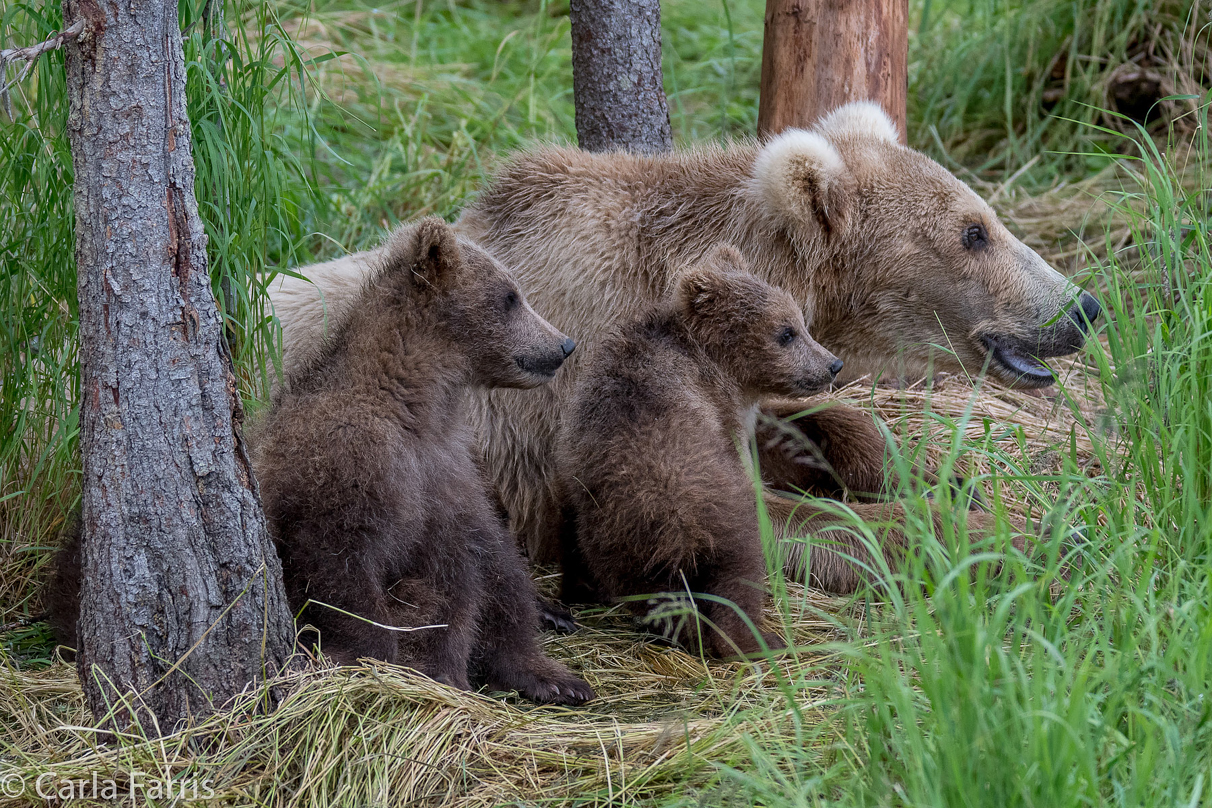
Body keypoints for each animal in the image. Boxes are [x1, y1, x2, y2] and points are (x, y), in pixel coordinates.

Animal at [272, 101, 1100, 593]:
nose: (1082, 306)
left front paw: (933, 470)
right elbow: (759, 516)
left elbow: (799, 421)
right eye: (973, 232)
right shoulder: (592, 393)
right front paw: (1018, 535)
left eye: (986, 214)